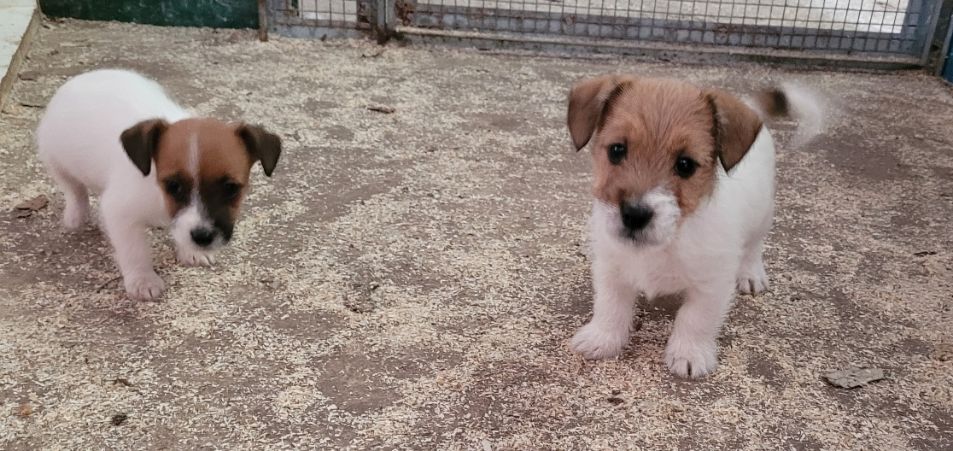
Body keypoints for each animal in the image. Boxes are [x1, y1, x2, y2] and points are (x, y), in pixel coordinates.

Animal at [38, 70, 282, 302]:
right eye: (173, 186)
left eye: (231, 188)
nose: (202, 238)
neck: (157, 190)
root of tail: (81, 78)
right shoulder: (120, 212)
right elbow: (134, 250)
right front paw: (142, 280)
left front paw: (189, 251)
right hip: (54, 159)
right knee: (74, 190)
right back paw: (75, 216)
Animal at [564, 74, 820, 378]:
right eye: (617, 150)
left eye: (685, 164)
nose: (635, 215)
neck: (671, 237)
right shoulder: (611, 270)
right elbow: (610, 307)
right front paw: (602, 339)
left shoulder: (712, 285)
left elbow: (694, 319)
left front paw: (688, 354)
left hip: (763, 215)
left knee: (754, 247)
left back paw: (751, 274)